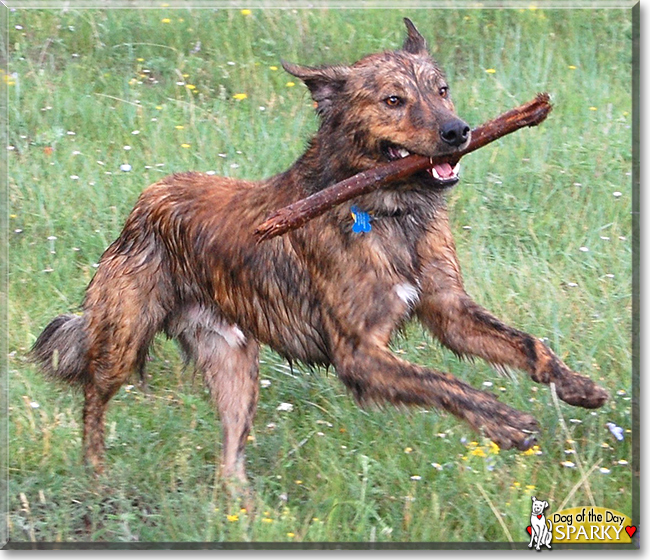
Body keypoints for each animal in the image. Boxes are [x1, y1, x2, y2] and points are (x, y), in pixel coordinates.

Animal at [30, 19, 608, 484]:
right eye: (393, 100)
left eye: (442, 90)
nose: (459, 131)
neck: (386, 210)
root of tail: (145, 201)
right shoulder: (358, 352)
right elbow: (445, 383)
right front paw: (504, 422)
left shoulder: (448, 310)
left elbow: (529, 344)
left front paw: (577, 386)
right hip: (123, 338)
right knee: (93, 400)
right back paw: (97, 477)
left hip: (234, 365)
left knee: (228, 463)